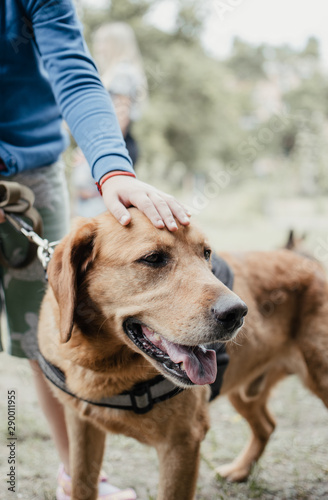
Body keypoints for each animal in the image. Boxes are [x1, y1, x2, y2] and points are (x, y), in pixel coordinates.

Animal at [38, 209, 328, 498]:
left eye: (206, 253)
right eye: (153, 258)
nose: (238, 313)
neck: (106, 367)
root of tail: (312, 264)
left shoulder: (182, 442)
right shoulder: (81, 427)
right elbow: (81, 484)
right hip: (243, 391)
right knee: (267, 425)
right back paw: (240, 470)